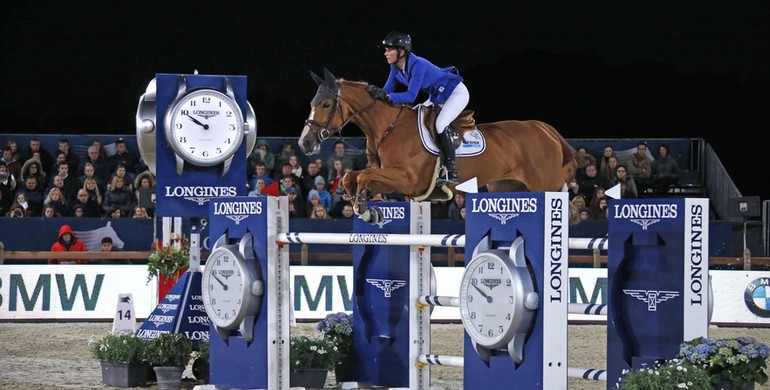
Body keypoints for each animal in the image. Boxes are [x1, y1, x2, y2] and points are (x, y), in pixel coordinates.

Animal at [296, 69, 572, 224]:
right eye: (312, 103)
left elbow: (363, 176)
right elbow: (351, 177)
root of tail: (545, 130)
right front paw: (364, 208)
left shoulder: (408, 180)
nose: (304, 142)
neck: (389, 128)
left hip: (544, 187)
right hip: (507, 188)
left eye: (326, 104)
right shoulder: (391, 179)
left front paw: (364, 210)